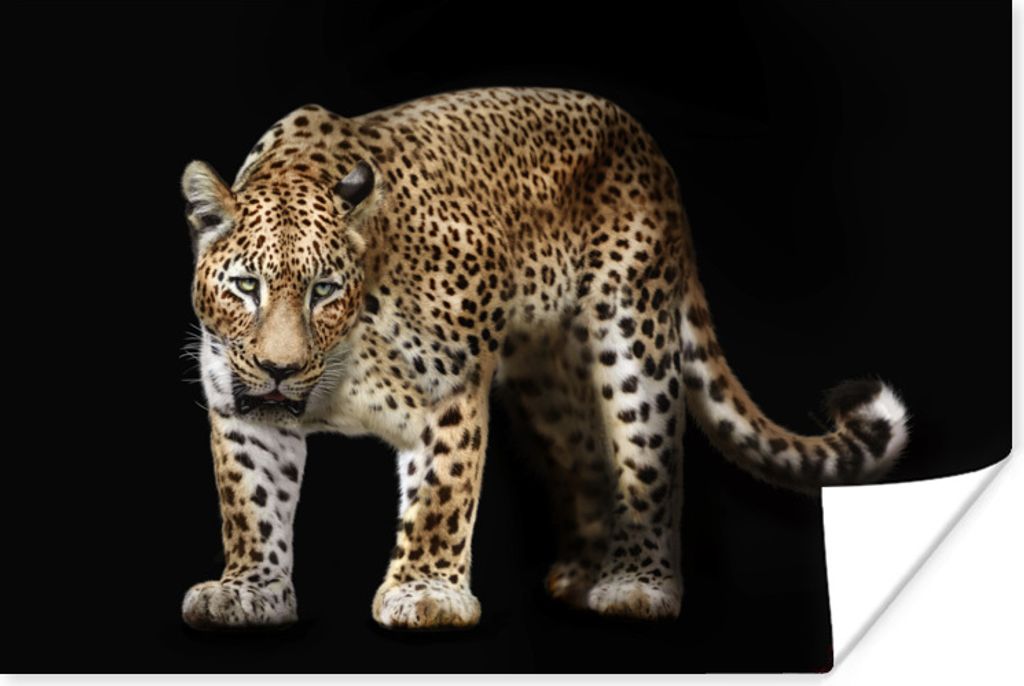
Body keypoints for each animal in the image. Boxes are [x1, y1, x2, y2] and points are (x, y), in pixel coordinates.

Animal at [179, 86, 909, 631]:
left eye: (324, 290)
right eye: (246, 286)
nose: (279, 367)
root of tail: (650, 149)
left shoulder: (450, 387)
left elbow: (441, 493)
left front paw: (426, 593)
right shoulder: (242, 410)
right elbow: (250, 501)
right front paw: (249, 591)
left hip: (633, 336)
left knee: (650, 459)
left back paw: (636, 583)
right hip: (547, 384)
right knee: (587, 457)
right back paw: (581, 575)